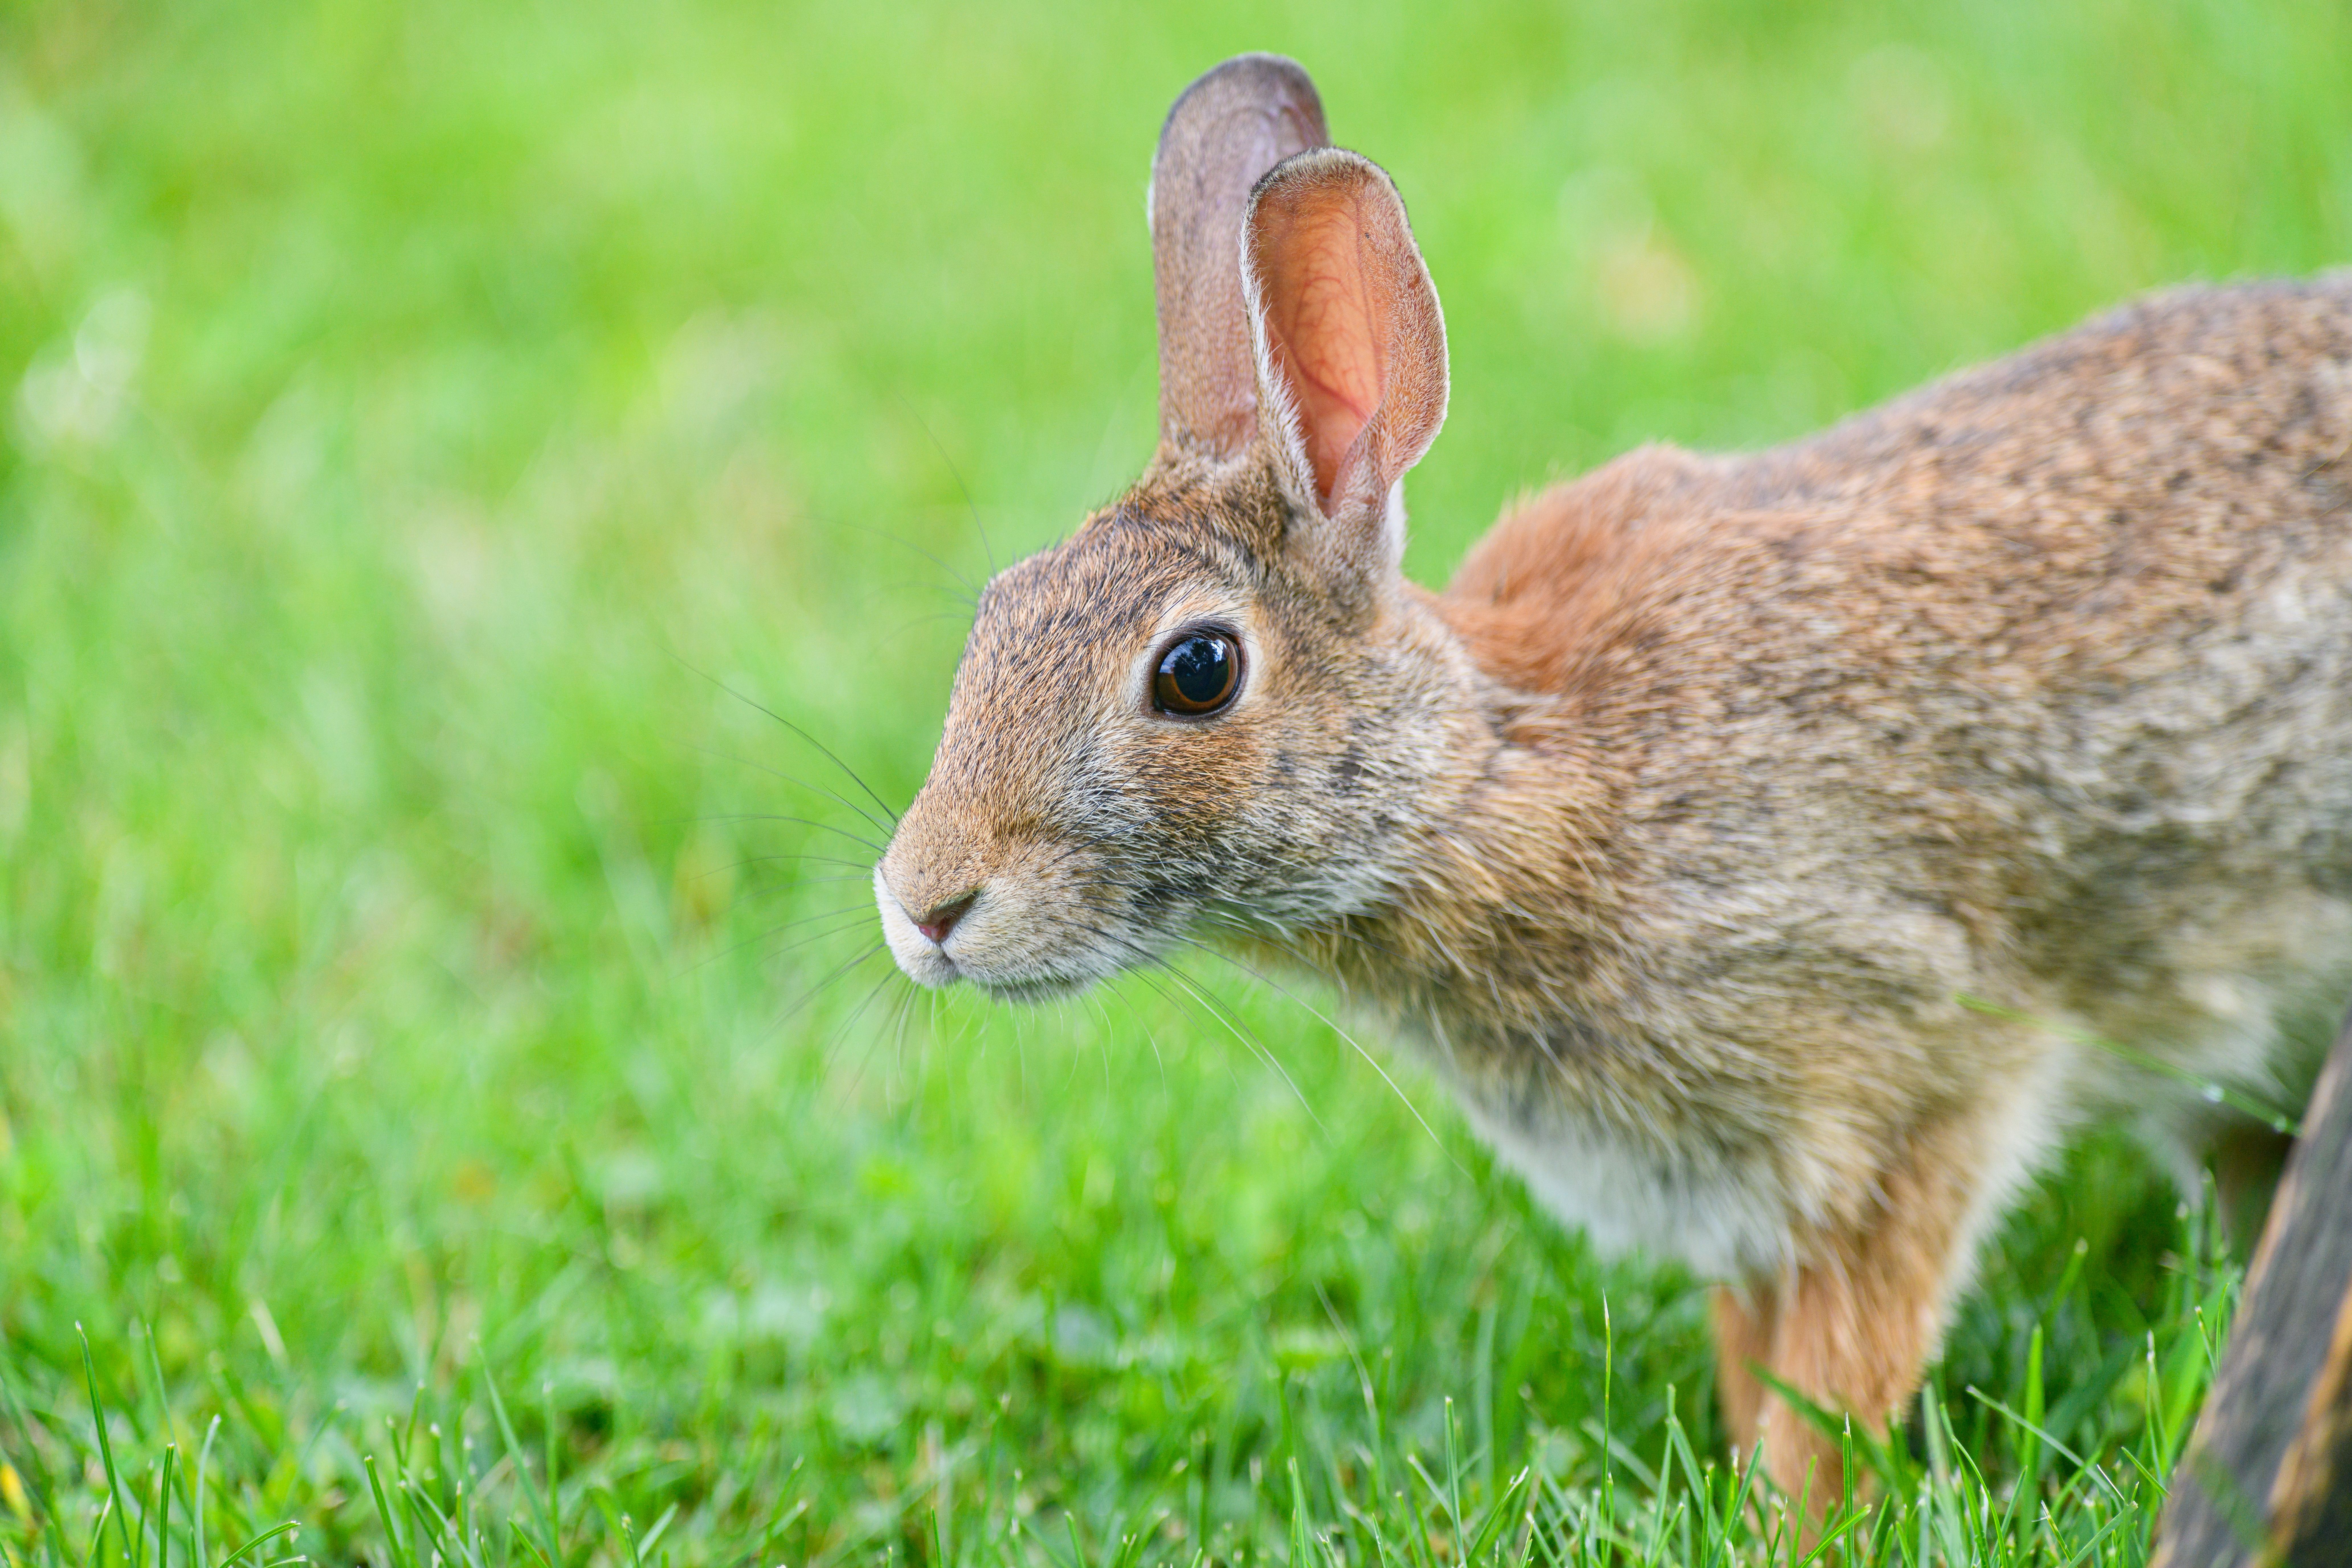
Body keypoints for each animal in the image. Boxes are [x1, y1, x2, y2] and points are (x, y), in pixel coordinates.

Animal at [871, 52, 2352, 1503]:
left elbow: (1838, 1379)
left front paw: (1791, 1522)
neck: (1481, 784)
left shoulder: (1906, 1095)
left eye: (1195, 672)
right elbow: (1757, 1362)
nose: (922, 905)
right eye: (998, 607)